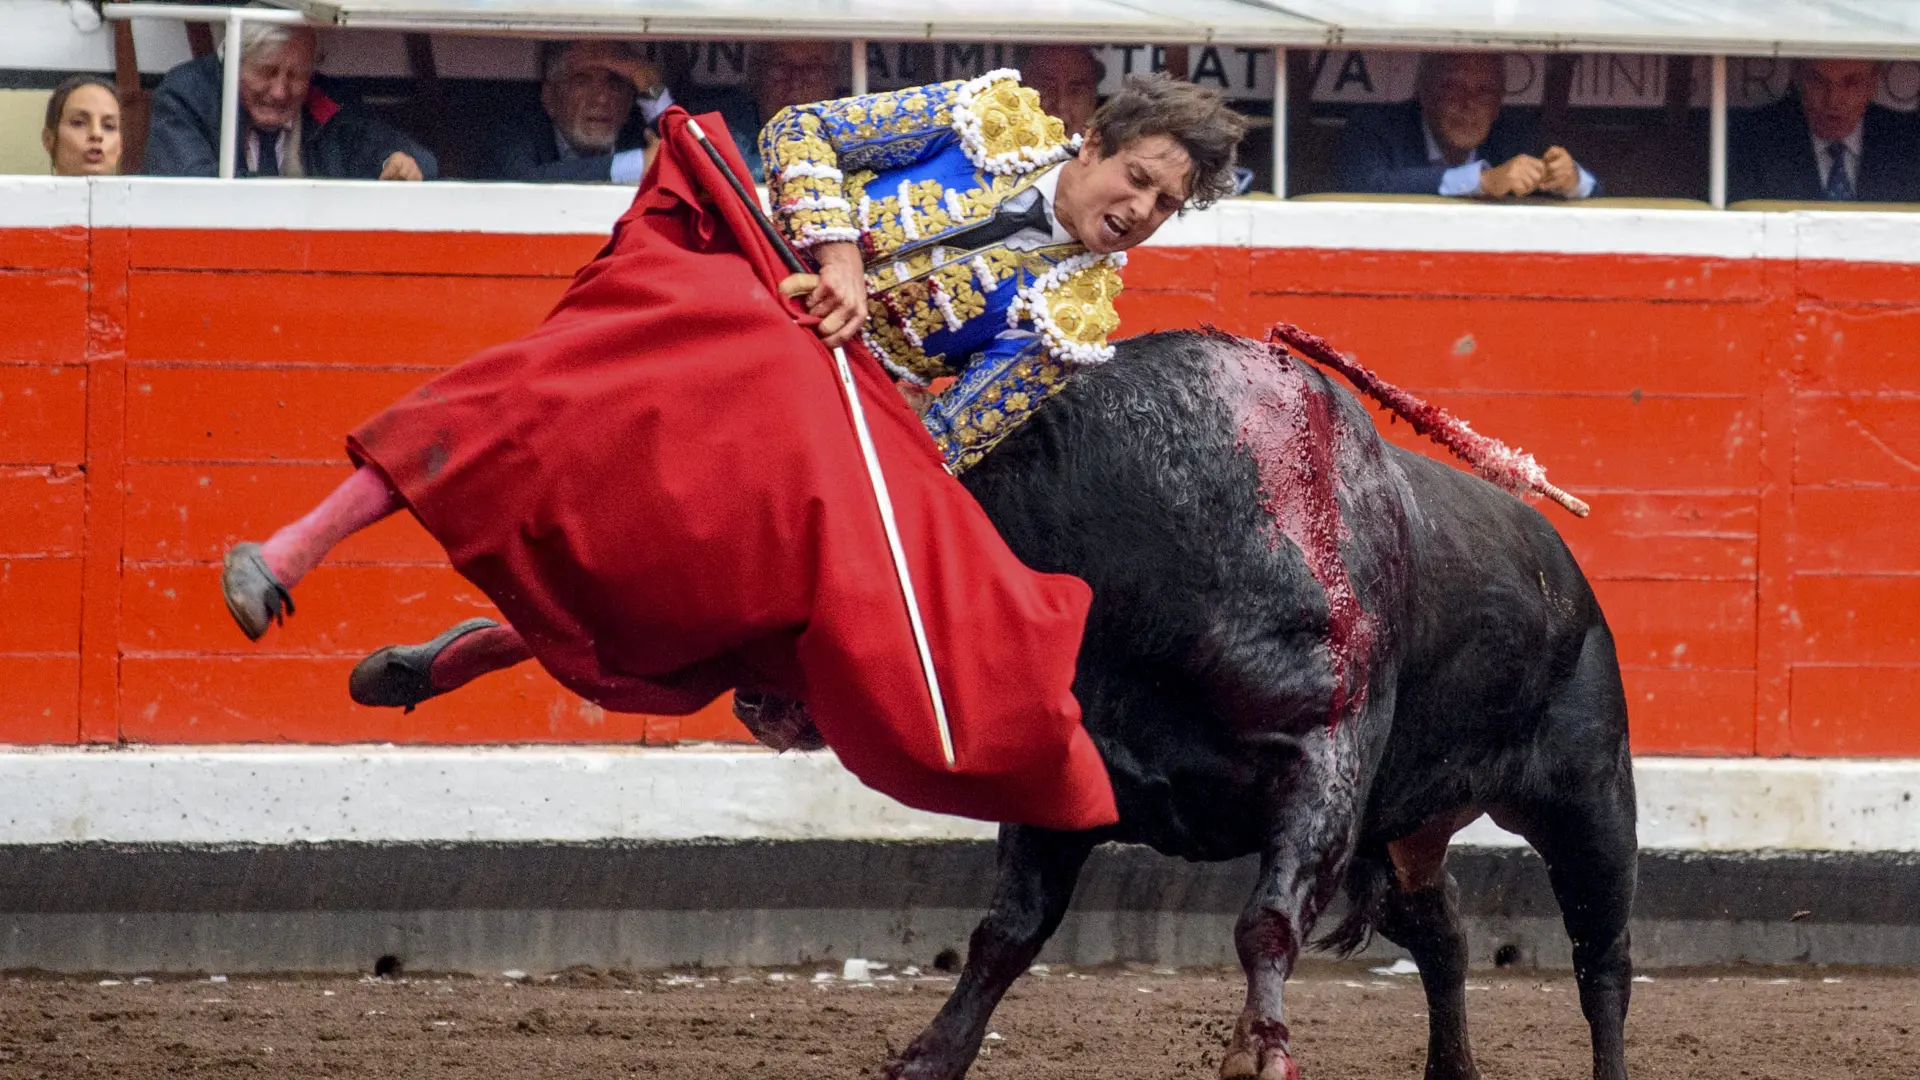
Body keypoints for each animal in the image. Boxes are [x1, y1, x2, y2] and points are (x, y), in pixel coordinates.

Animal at [741, 326, 1643, 1076]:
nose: (752, 699)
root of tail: (1570, 571)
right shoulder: (1067, 790)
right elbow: (1006, 932)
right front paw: (929, 1058)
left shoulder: (1323, 773)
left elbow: (1267, 921)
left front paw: (1258, 1054)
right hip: (1404, 829)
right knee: (1444, 931)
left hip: (1589, 803)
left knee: (1603, 959)